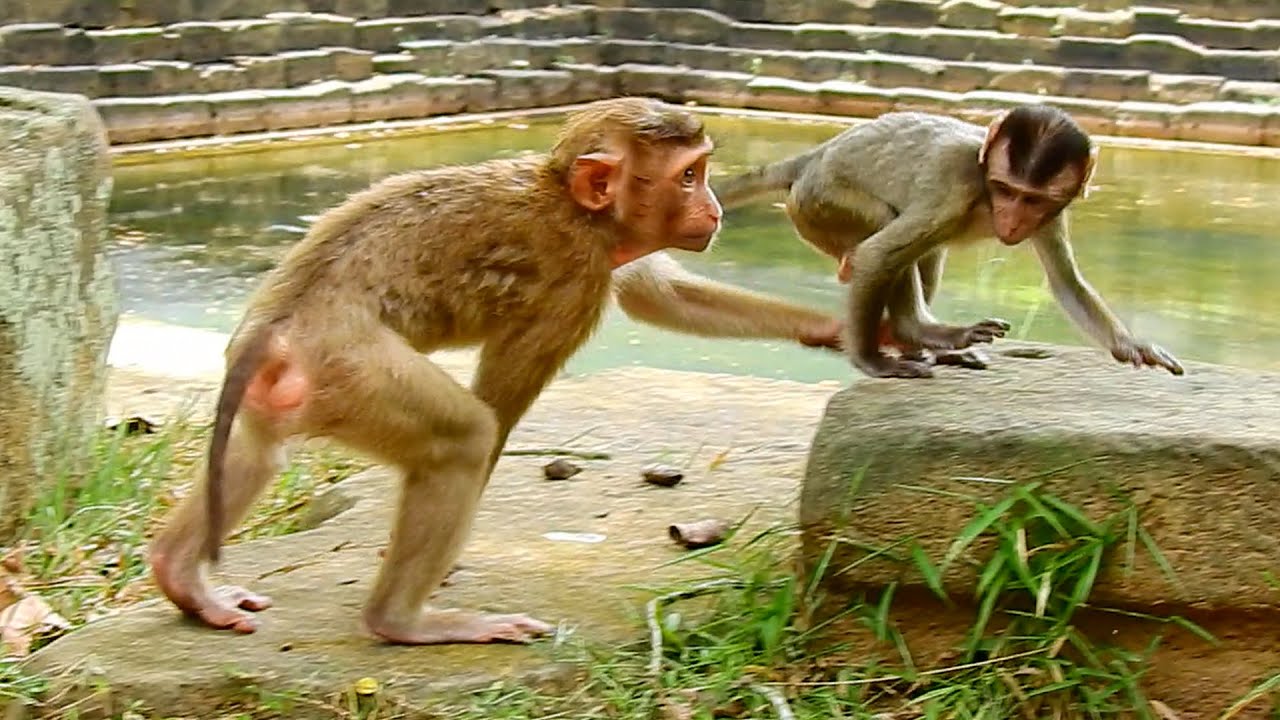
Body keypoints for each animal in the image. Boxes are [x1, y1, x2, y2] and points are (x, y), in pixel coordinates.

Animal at [146, 97, 845, 646]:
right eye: (690, 175)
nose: (717, 206)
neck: (575, 206)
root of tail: (277, 324)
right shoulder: (574, 280)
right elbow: (501, 405)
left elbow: (660, 295)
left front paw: (832, 328)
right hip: (353, 369)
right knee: (462, 437)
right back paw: (401, 620)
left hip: (284, 384)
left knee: (257, 449)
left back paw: (183, 580)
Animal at [715, 103, 1184, 380]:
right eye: (1005, 190)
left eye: (1032, 199)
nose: (1012, 220)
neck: (984, 185)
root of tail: (812, 158)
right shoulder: (955, 185)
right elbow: (876, 254)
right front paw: (870, 362)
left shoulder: (1054, 213)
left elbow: (1065, 282)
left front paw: (1132, 346)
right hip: (819, 203)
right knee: (884, 230)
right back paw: (914, 331)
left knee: (925, 253)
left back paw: (924, 341)